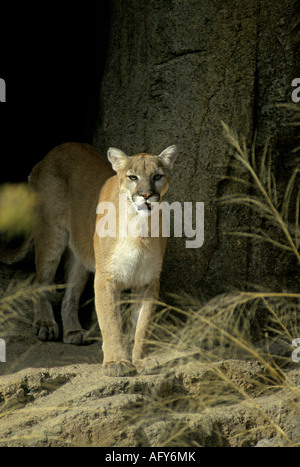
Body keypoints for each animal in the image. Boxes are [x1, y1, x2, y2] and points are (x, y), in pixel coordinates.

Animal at [5, 143, 178, 376]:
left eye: (157, 176)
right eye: (132, 177)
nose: (146, 194)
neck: (139, 228)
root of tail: (54, 151)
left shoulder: (148, 281)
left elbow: (143, 325)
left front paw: (141, 360)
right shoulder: (106, 278)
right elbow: (110, 322)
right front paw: (116, 362)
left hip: (80, 254)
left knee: (71, 293)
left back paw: (73, 331)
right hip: (51, 235)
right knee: (41, 281)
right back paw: (45, 324)